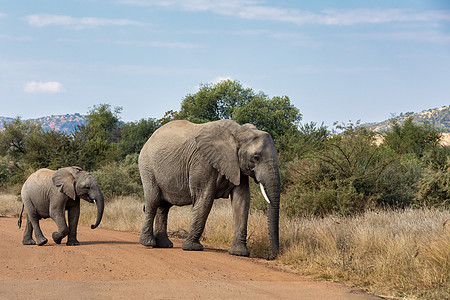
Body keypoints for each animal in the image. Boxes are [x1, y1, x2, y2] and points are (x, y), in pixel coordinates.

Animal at [139, 119, 280, 258]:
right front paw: (192, 248)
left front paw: (239, 253)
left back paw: (164, 245)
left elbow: (242, 200)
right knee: (153, 201)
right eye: (256, 157)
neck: (240, 132)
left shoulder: (237, 166)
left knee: (164, 206)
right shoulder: (202, 161)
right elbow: (204, 198)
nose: (271, 256)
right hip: (147, 167)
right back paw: (148, 243)